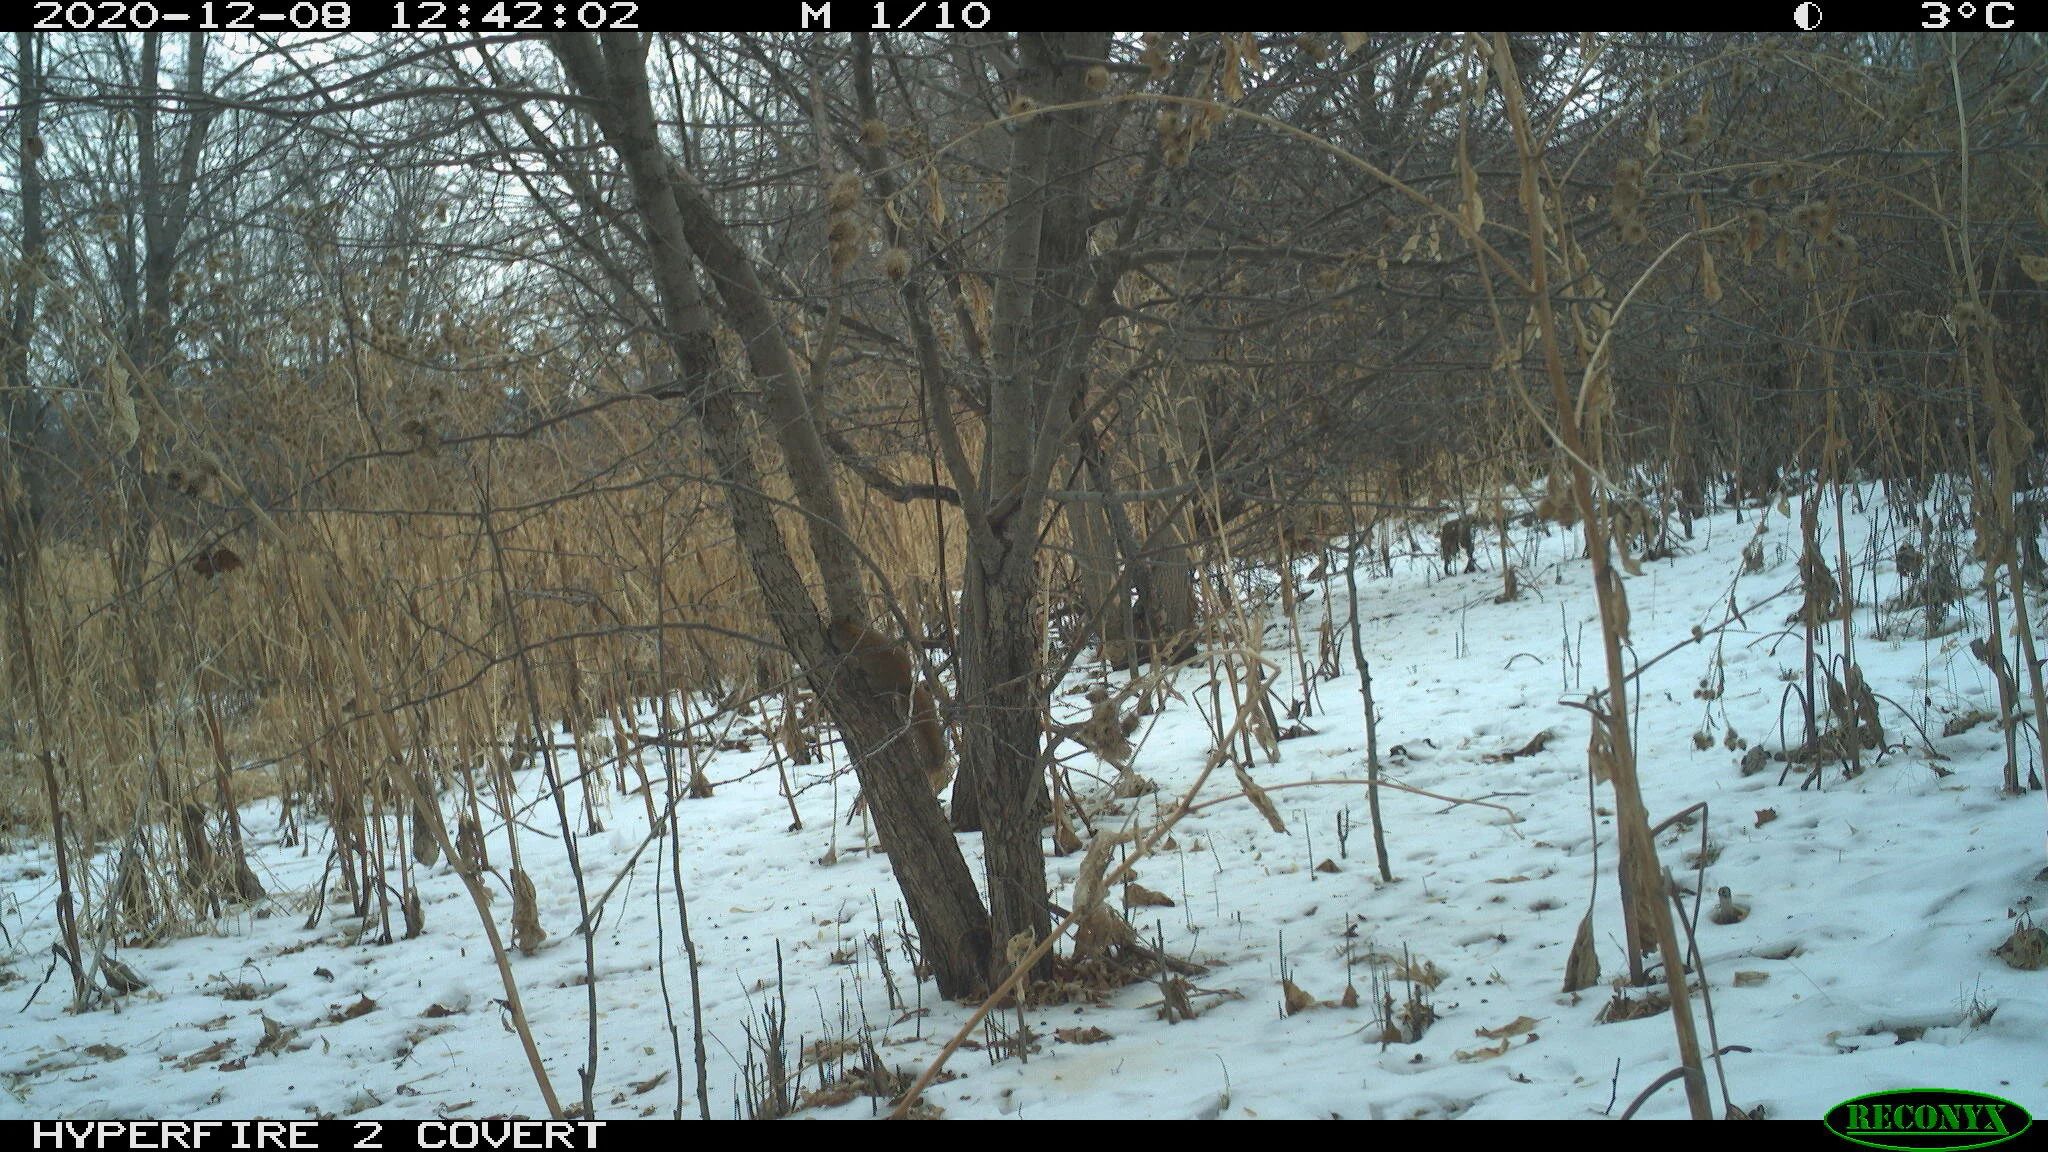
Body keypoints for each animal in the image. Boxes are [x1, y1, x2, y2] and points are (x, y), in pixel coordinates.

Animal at [828, 616, 954, 804]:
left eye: (834, 627)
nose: (827, 628)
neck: (854, 633)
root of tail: (904, 684)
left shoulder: (852, 650)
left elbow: (848, 658)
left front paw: (840, 656)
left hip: (876, 679)